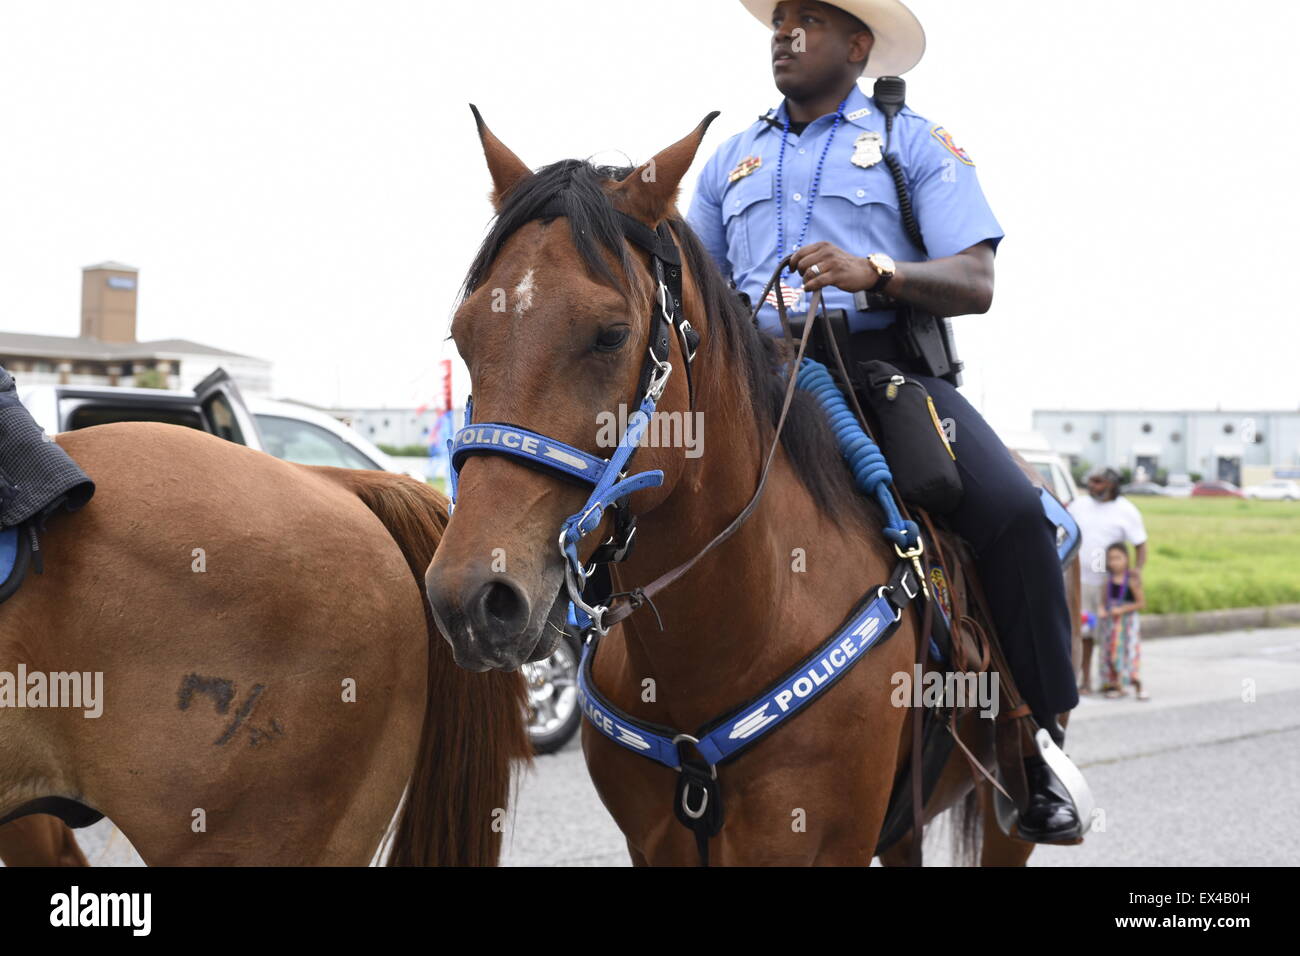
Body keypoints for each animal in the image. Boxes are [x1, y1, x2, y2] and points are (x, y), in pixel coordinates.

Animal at [426, 111, 1076, 868]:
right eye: (464, 335)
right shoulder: (658, 846)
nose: (473, 597)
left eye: (611, 335)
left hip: (1006, 820)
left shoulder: (825, 845)